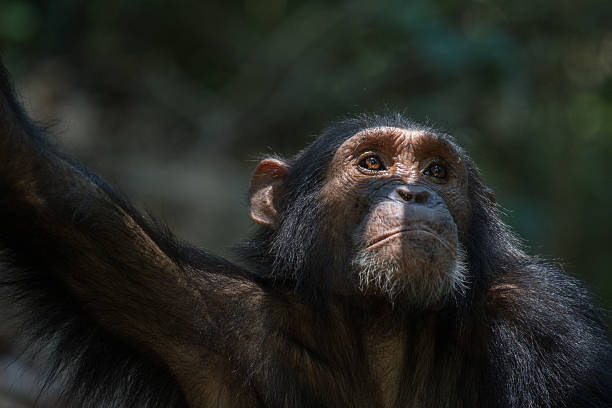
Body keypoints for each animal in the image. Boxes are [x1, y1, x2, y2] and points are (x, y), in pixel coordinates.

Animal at [0, 58, 608, 408]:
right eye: (372, 163)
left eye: (437, 171)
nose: (416, 192)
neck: (382, 327)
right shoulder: (194, 315)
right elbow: (52, 196)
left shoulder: (548, 325)